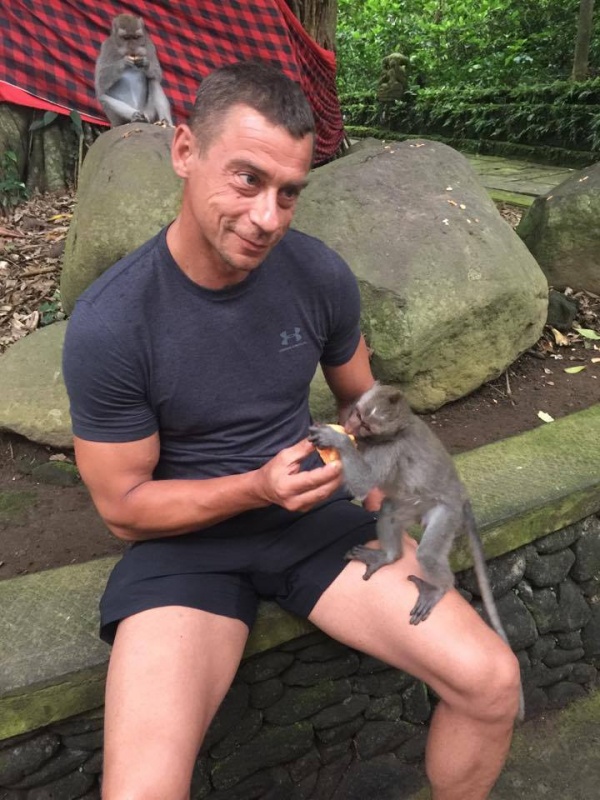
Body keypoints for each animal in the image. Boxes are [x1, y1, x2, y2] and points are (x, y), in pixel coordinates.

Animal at [308, 383, 524, 719]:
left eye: (367, 425)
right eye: (357, 414)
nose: (352, 427)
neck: (390, 434)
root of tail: (461, 495)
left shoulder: (389, 450)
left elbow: (364, 483)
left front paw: (338, 441)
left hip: (445, 513)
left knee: (427, 555)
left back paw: (439, 588)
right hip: (414, 506)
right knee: (388, 509)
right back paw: (389, 556)